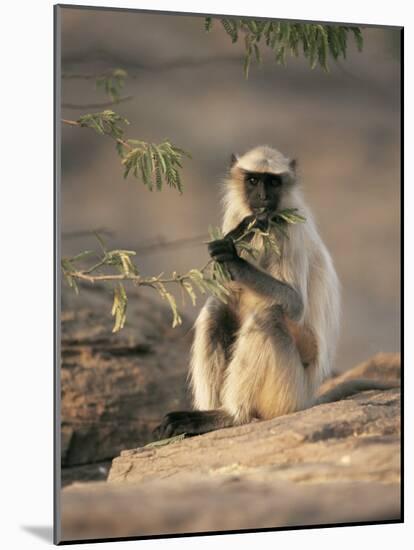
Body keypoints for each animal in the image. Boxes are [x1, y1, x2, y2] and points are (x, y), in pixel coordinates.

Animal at [154, 147, 398, 440]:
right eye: (253, 181)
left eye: (272, 182)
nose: (262, 197)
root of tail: (308, 398)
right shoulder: (237, 214)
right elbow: (222, 286)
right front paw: (239, 237)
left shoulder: (287, 228)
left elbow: (295, 303)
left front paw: (233, 256)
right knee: (217, 309)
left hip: (291, 387)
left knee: (268, 315)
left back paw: (231, 416)